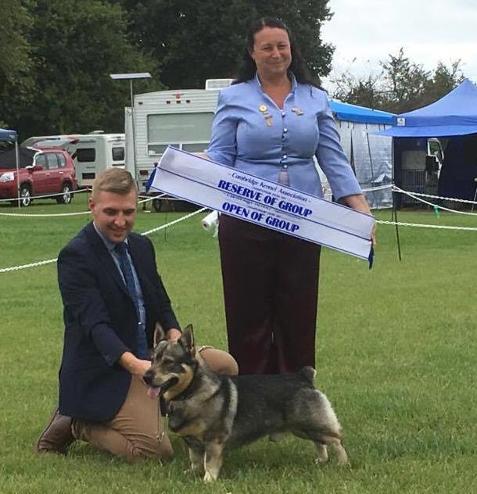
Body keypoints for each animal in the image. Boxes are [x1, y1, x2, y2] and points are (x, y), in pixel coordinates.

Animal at [143, 324, 348, 482]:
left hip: (311, 423)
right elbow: (195, 461)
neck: (190, 393)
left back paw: (343, 463)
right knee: (319, 442)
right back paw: (321, 461)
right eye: (152, 360)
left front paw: (208, 480)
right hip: (302, 428)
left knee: (336, 440)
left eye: (169, 362)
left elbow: (209, 462)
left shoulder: (214, 441)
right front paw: (192, 473)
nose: (146, 376)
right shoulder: (193, 443)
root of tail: (303, 377)